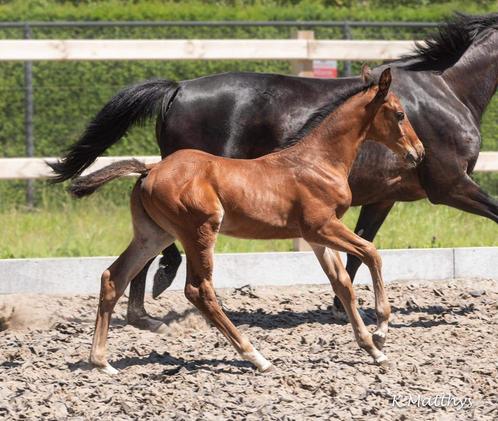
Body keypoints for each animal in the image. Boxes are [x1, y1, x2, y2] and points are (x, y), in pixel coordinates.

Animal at [70, 66, 424, 374]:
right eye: (400, 114)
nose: (418, 152)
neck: (318, 160)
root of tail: (150, 169)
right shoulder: (323, 225)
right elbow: (371, 253)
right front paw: (381, 330)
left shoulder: (316, 237)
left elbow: (343, 284)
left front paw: (373, 349)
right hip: (199, 231)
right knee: (199, 290)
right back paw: (256, 357)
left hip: (153, 234)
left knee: (113, 277)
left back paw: (101, 362)